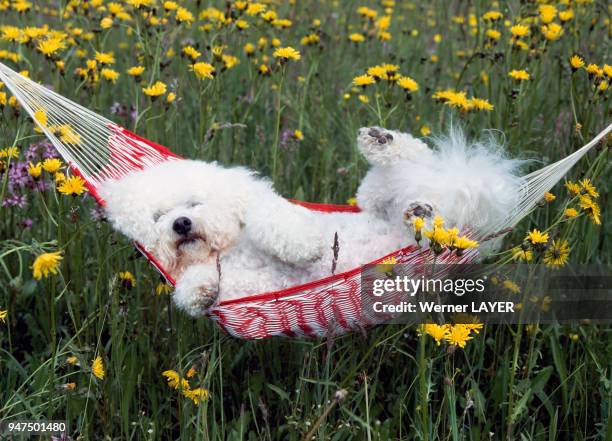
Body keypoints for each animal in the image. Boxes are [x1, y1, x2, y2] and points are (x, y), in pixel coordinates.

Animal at [99, 125, 520, 314]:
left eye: (194, 202)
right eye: (158, 217)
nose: (181, 224)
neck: (228, 253)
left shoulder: (265, 212)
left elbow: (277, 223)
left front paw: (305, 245)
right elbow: (197, 284)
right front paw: (200, 290)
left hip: (390, 194)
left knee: (417, 157)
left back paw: (383, 143)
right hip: (390, 208)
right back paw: (420, 211)